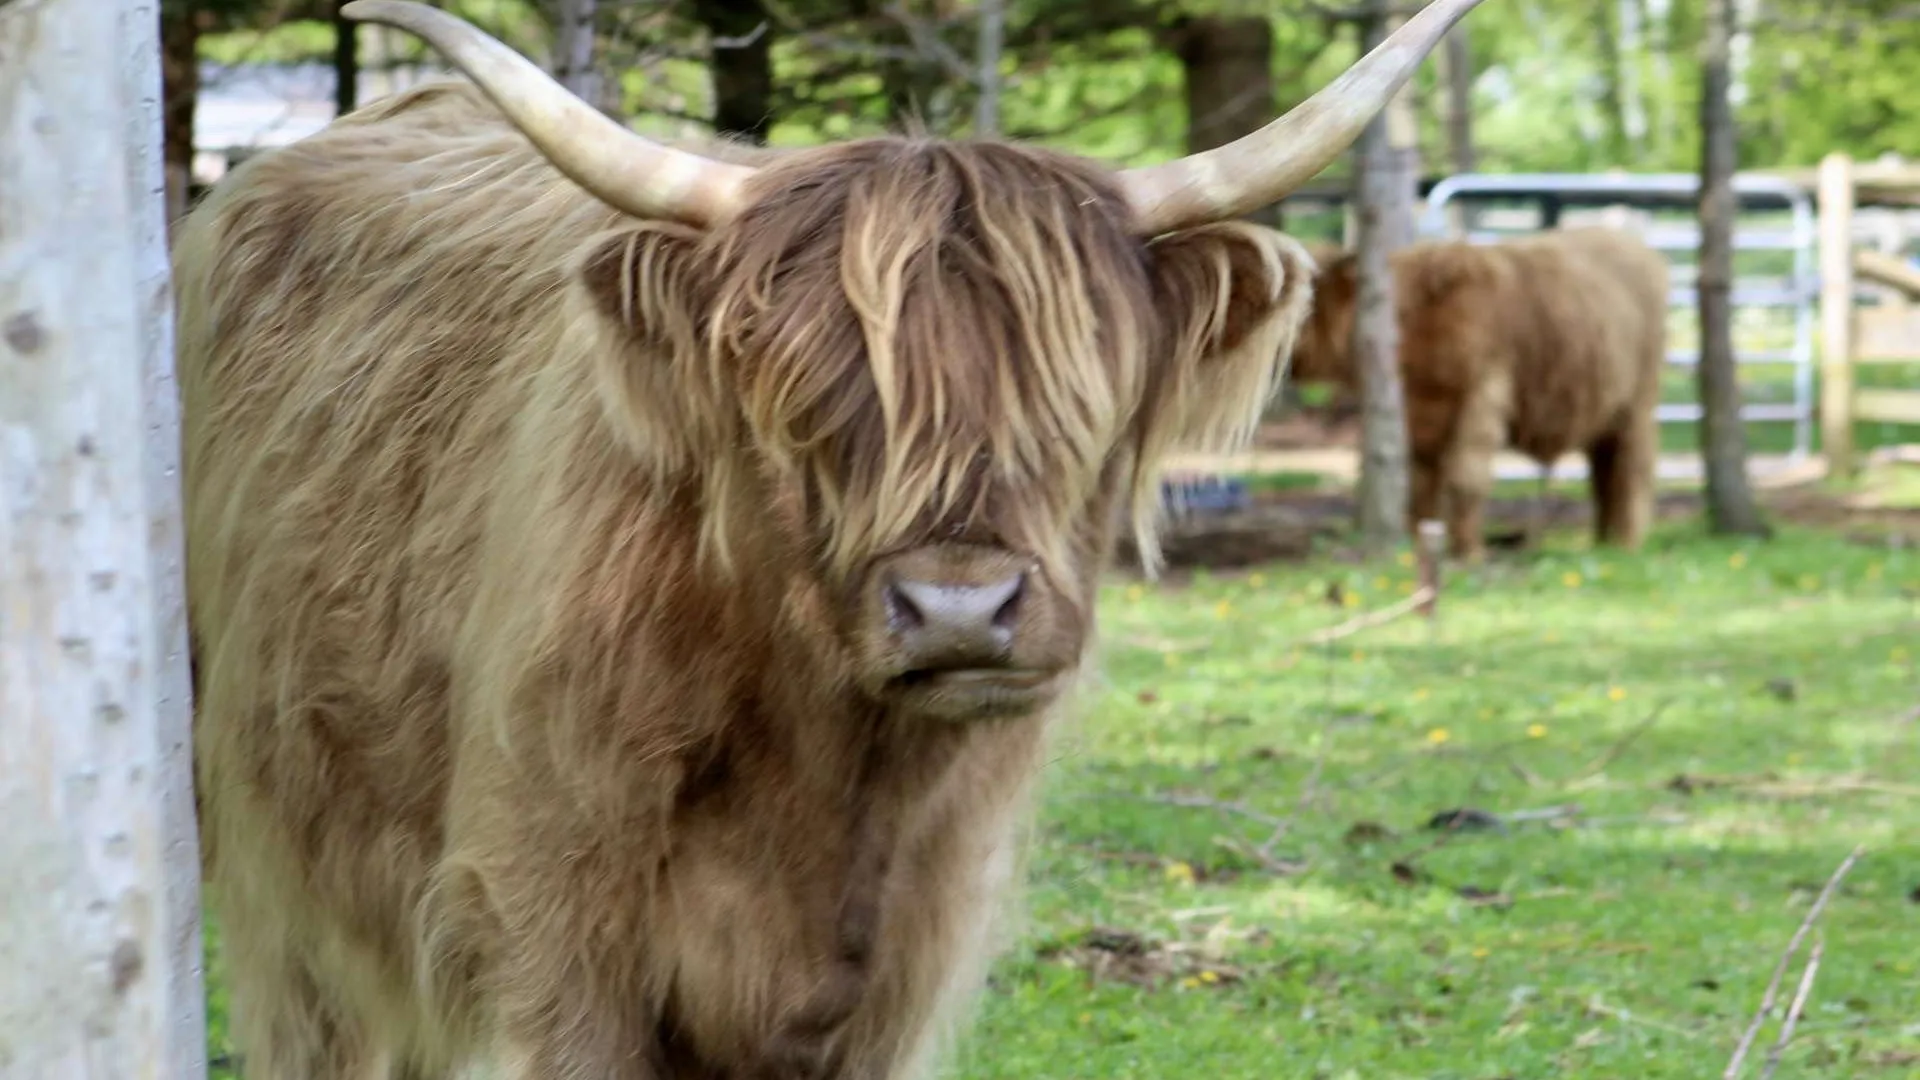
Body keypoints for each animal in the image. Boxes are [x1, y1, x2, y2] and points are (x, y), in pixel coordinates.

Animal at [170, 0, 1487, 1076]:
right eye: (805, 408)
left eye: (1083, 406)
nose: (959, 611)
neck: (828, 772)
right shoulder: (546, 919)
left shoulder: (906, 959)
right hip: (285, 868)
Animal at [1286, 226, 1670, 560]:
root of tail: (1637, 246)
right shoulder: (1417, 416)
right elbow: (1421, 482)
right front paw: (1417, 547)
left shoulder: (1479, 399)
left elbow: (1465, 479)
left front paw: (1468, 552)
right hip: (1604, 415)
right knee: (1604, 474)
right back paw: (1602, 541)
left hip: (1636, 407)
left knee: (1631, 471)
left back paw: (1625, 543)